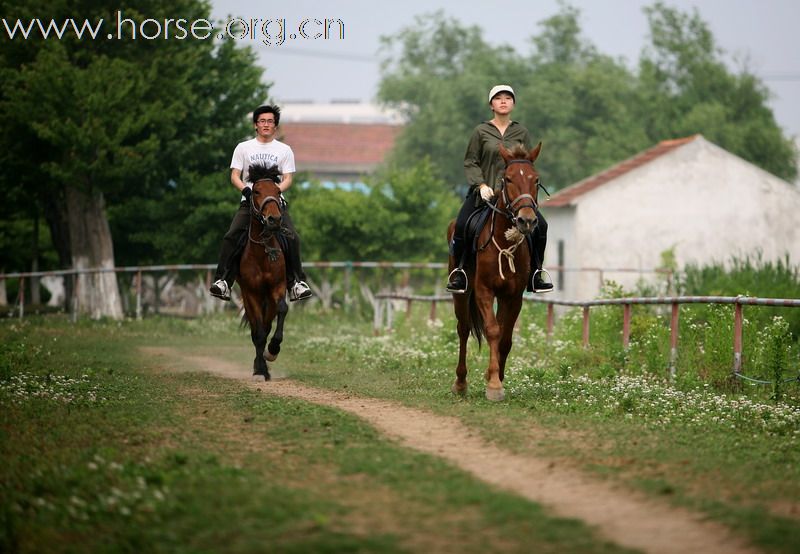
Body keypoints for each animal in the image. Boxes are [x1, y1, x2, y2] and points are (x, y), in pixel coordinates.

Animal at [446, 141, 540, 402]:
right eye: (508, 179)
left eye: (536, 179)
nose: (527, 220)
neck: (505, 242)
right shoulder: (484, 291)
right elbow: (492, 331)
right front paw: (495, 385)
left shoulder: (514, 296)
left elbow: (504, 338)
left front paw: (495, 377)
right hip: (461, 292)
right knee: (463, 329)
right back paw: (460, 382)